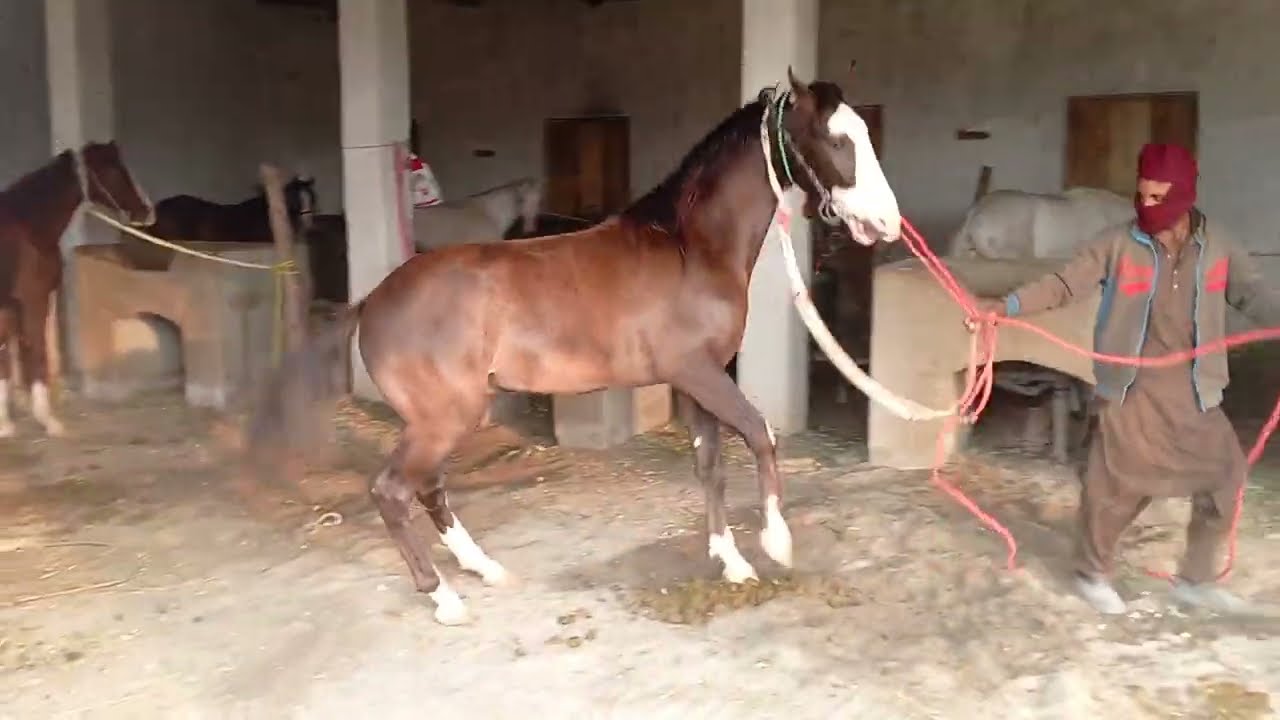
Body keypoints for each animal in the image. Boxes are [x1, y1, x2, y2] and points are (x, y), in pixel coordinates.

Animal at [0, 141, 155, 438]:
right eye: (114, 170)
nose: (147, 211)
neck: (28, 228)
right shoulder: (32, 301)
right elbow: (37, 353)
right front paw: (48, 421)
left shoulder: (10, 307)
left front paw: (6, 424)